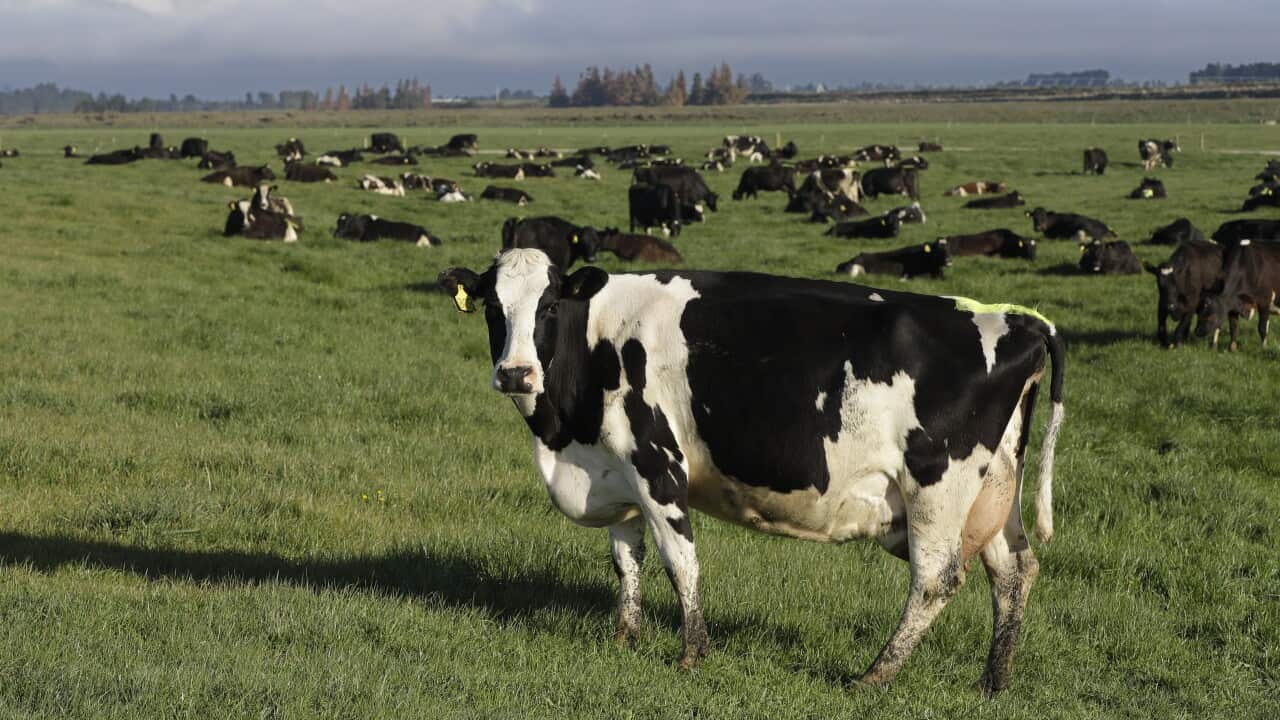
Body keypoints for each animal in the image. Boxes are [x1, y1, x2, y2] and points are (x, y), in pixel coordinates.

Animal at [437, 248, 1065, 693]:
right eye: (493, 308)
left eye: (547, 307)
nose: (516, 373)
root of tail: (1019, 320)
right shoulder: (614, 470)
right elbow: (626, 559)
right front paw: (624, 638)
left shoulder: (656, 462)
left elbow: (679, 560)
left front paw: (692, 654)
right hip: (993, 489)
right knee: (1014, 571)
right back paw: (992, 681)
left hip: (938, 483)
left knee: (937, 578)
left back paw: (875, 675)